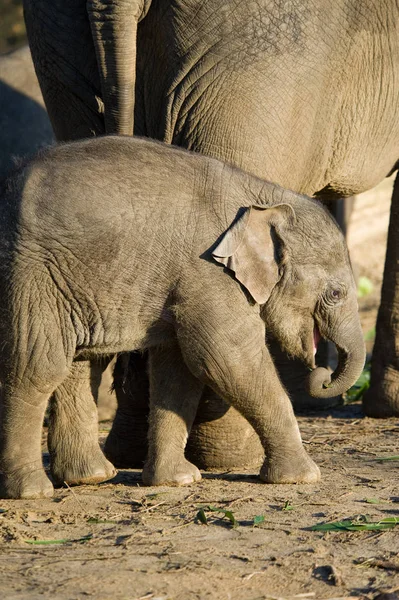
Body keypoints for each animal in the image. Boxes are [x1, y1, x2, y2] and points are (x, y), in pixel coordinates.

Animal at [0, 135, 366, 496]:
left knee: (79, 365)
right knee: (39, 367)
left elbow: (178, 372)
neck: (264, 197)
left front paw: (178, 480)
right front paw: (304, 477)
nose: (322, 376)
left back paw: (91, 477)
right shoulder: (208, 272)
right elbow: (226, 359)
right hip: (33, 272)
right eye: (335, 294)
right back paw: (33, 492)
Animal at [23, 0, 399, 478]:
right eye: (334, 294)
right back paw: (231, 457)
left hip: (58, 46)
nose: (322, 375)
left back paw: (126, 455)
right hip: (262, 61)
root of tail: (115, 5)